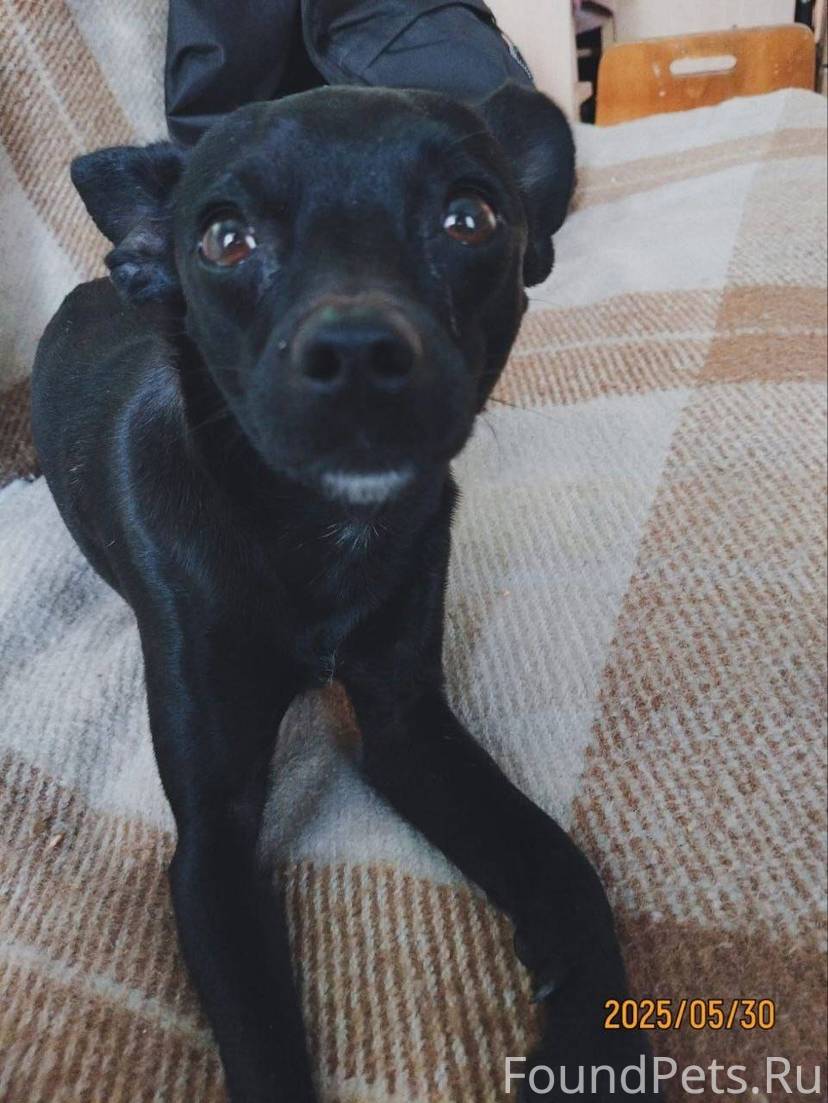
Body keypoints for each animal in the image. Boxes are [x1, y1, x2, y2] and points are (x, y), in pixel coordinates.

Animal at [31, 83, 661, 1102]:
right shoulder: (212, 838)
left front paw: (592, 1042)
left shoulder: (408, 726)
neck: (321, 536)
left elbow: (562, 867)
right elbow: (262, 1037)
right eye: (225, 238)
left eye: (470, 218)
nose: (359, 349)